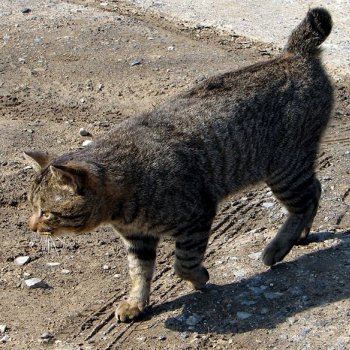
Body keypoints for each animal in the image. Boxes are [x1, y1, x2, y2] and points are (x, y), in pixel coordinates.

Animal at [25, 8, 334, 322]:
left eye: (47, 212)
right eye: (31, 207)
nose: (31, 226)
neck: (120, 206)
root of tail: (295, 54)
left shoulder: (197, 215)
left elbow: (182, 263)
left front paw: (199, 277)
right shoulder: (138, 240)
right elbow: (139, 273)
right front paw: (136, 302)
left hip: (285, 168)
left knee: (307, 199)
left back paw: (278, 247)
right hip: (291, 168)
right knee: (315, 189)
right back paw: (300, 235)